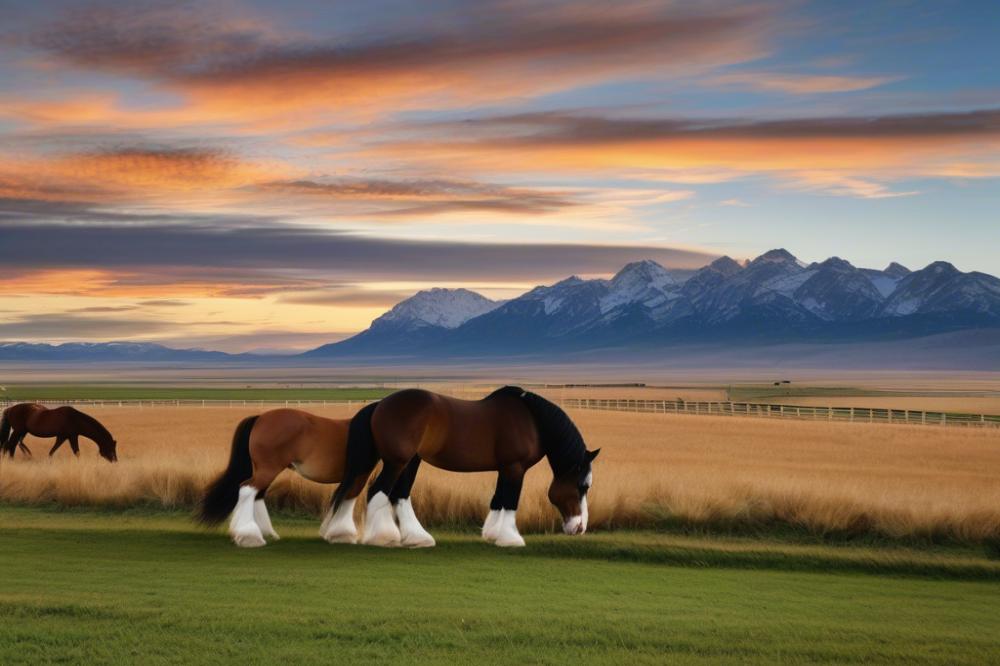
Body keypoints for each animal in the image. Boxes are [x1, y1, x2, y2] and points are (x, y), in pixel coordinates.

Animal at [196, 408, 368, 548]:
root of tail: (260, 418)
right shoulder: (360, 476)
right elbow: (350, 497)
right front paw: (344, 534)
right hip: (268, 470)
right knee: (248, 490)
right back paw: (249, 537)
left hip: (262, 470)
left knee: (257, 494)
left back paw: (266, 533)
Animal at [336, 386, 600, 548]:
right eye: (582, 486)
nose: (580, 527)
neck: (532, 421)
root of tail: (380, 404)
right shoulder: (515, 468)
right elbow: (510, 501)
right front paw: (511, 539)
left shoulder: (505, 469)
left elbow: (498, 500)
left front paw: (493, 534)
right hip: (397, 462)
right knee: (378, 491)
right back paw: (382, 537)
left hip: (411, 461)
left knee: (399, 495)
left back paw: (417, 538)